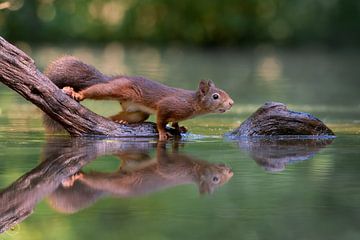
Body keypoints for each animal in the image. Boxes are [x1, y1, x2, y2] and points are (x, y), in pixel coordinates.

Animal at [44, 56, 233, 140]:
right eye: (215, 96)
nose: (231, 103)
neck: (192, 104)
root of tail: (116, 78)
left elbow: (175, 122)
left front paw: (179, 128)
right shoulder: (167, 105)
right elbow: (161, 120)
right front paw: (163, 132)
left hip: (137, 112)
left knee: (112, 117)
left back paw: (120, 121)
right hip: (120, 89)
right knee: (97, 90)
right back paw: (76, 93)